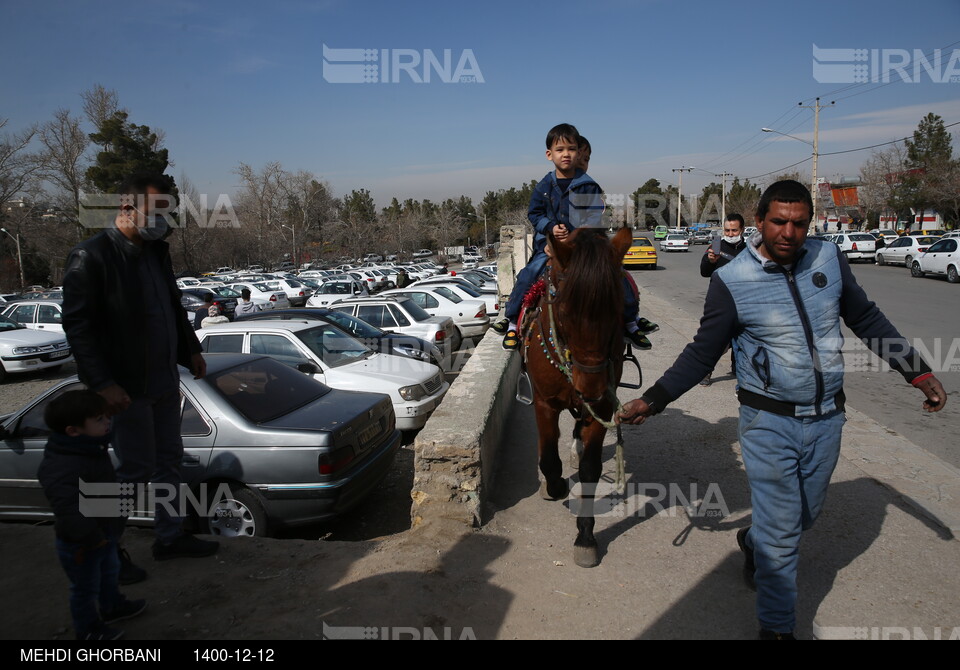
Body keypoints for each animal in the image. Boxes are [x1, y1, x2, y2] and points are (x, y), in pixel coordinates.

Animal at [520, 226, 632, 568]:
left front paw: (585, 536)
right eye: (565, 312)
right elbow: (548, 457)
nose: (591, 387)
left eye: (618, 310)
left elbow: (590, 470)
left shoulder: (604, 407)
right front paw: (555, 486)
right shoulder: (544, 403)